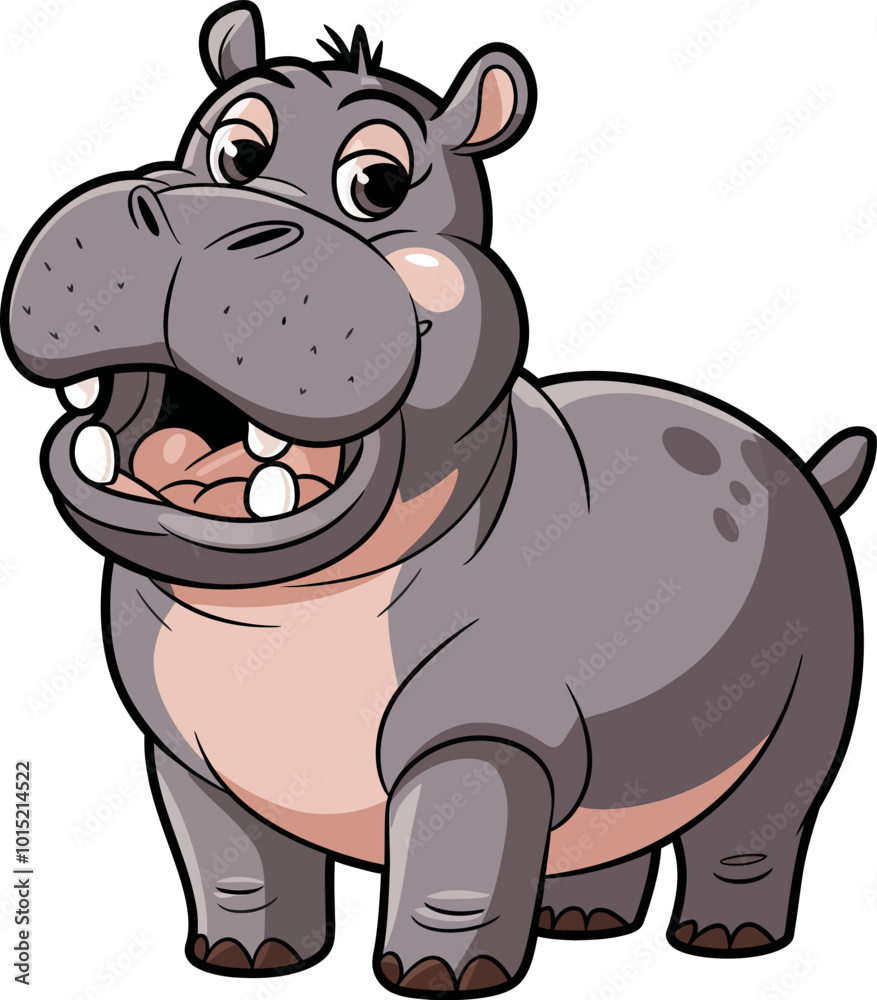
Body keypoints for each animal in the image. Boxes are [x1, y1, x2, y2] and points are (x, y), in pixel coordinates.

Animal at [2, 3, 874, 995]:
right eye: (231, 150)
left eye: (378, 182)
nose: (194, 222)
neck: (272, 609)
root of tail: (793, 461)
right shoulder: (187, 750)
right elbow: (233, 861)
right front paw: (243, 961)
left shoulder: (484, 730)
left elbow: (453, 861)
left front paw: (435, 978)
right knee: (610, 824)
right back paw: (579, 924)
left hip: (814, 690)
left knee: (759, 824)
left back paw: (725, 943)